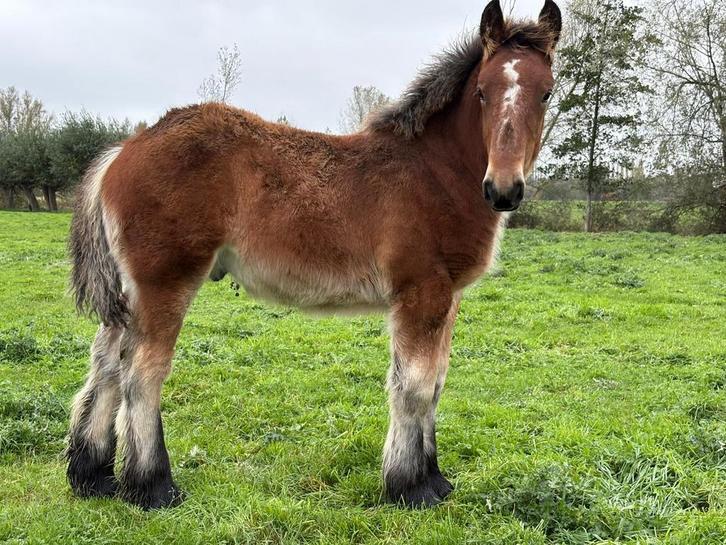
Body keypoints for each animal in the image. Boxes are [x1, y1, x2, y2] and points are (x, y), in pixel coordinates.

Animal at [66, 0, 561, 509]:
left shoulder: (448, 297)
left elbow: (437, 382)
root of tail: (125, 149)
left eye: (546, 93)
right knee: (141, 373)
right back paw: (152, 485)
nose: (503, 190)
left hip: (130, 294)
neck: (434, 173)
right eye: (482, 93)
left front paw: (435, 479)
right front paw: (411, 486)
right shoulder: (421, 292)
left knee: (106, 363)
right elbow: (416, 387)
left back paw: (92, 476)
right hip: (164, 283)